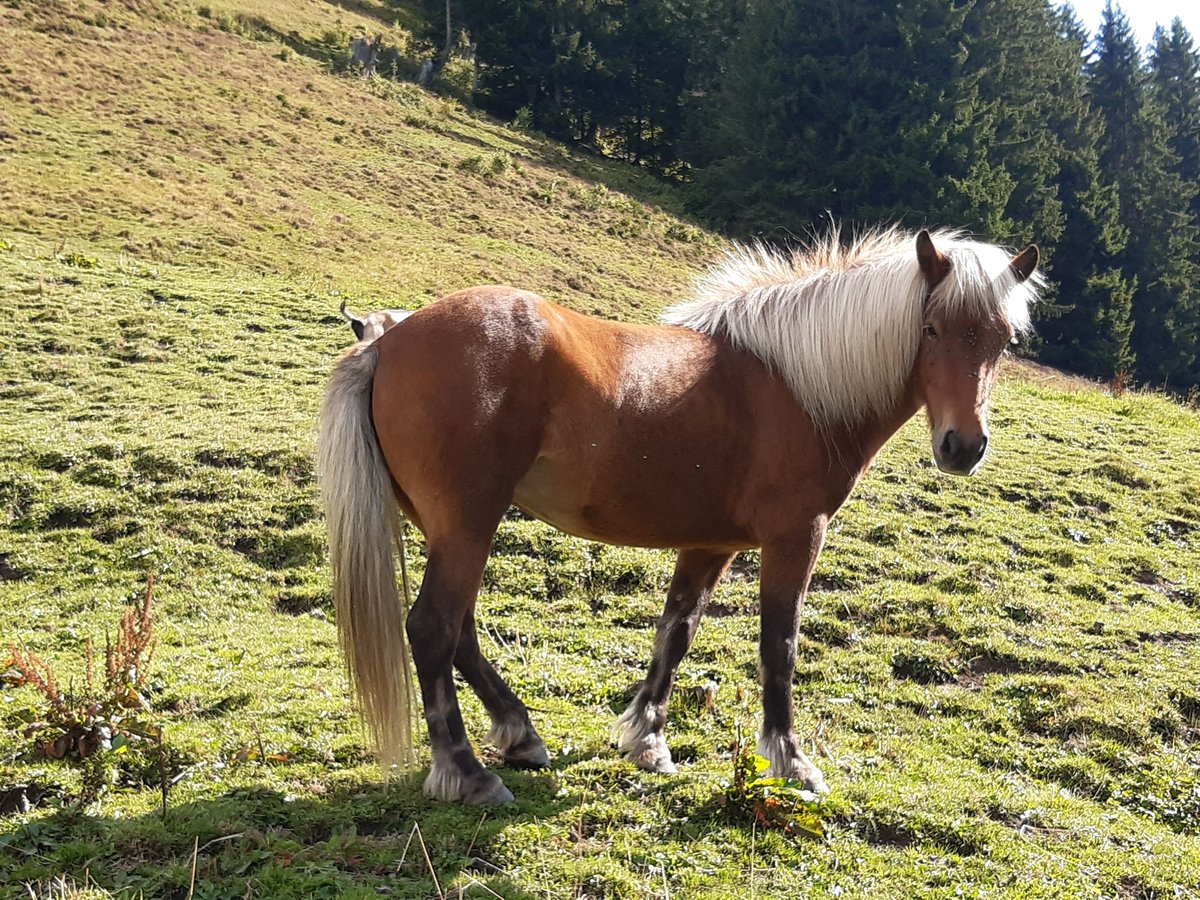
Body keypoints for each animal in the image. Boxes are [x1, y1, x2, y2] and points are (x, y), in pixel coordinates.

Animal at [316, 229, 1041, 806]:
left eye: (1003, 341)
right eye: (932, 329)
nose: (963, 447)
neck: (797, 385)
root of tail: (390, 342)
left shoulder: (709, 545)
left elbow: (677, 632)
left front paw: (648, 740)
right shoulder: (795, 537)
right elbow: (779, 645)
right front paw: (792, 761)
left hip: (453, 528)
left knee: (459, 630)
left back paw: (520, 734)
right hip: (468, 523)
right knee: (433, 628)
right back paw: (467, 772)